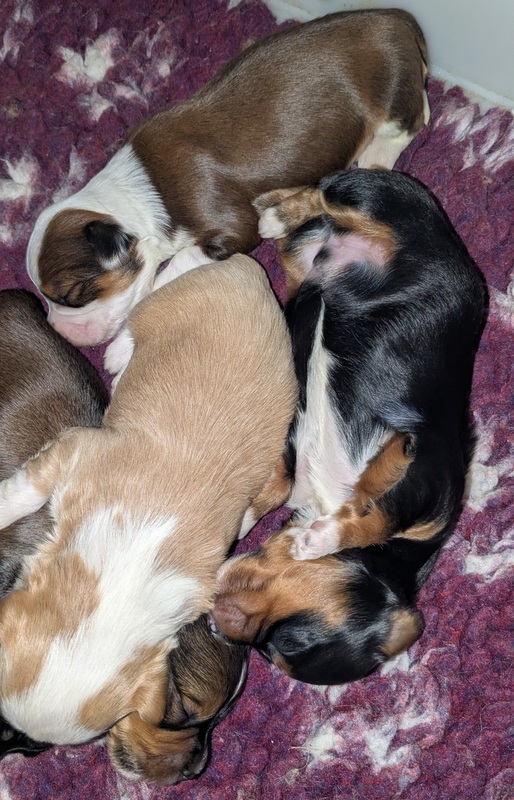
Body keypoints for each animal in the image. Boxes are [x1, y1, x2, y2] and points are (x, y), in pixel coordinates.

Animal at [0, 255, 297, 751]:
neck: (121, 572)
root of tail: (249, 271)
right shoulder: (76, 451)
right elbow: (26, 488)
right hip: (170, 302)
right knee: (157, 286)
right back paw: (120, 355)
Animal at [26, 9, 428, 350]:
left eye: (72, 295)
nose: (60, 332)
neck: (135, 192)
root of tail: (397, 17)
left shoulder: (231, 228)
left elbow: (175, 268)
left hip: (395, 93)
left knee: (413, 120)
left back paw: (371, 158)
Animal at [209, 169, 487, 685]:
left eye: (277, 648)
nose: (216, 627)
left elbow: (364, 510)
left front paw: (315, 537)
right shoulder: (428, 475)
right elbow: (375, 507)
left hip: (305, 261)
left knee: (311, 216)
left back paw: (279, 215)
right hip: (378, 200)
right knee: (327, 189)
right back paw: (276, 211)